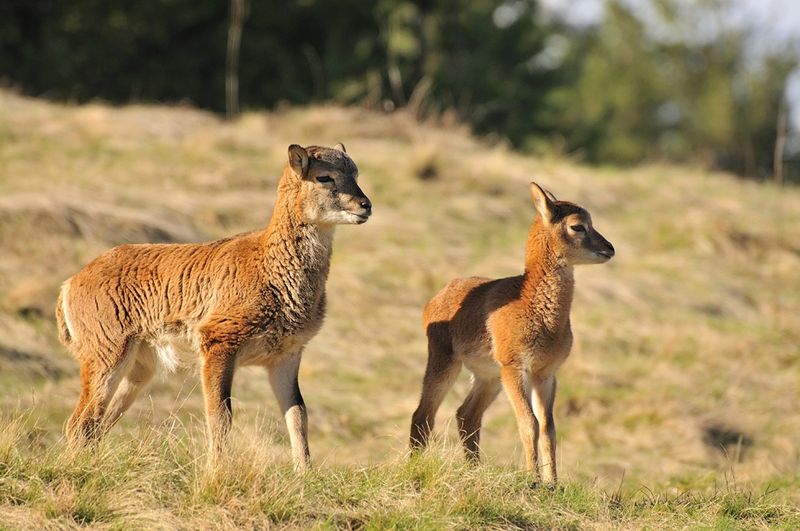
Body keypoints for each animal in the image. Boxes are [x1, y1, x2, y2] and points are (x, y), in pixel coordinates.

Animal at [56, 143, 371, 469]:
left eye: (355, 172)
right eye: (324, 177)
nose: (365, 205)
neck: (270, 267)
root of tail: (71, 284)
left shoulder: (285, 358)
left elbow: (298, 416)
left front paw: (304, 474)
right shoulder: (218, 345)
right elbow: (221, 416)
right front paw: (216, 472)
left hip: (138, 370)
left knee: (96, 425)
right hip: (107, 358)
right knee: (80, 423)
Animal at [409, 182, 614, 484]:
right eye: (578, 226)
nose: (609, 248)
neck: (534, 307)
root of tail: (438, 296)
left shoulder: (545, 374)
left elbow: (548, 427)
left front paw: (553, 482)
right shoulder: (515, 368)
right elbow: (529, 422)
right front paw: (533, 479)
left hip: (488, 377)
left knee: (466, 416)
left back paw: (475, 470)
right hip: (446, 363)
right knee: (423, 415)